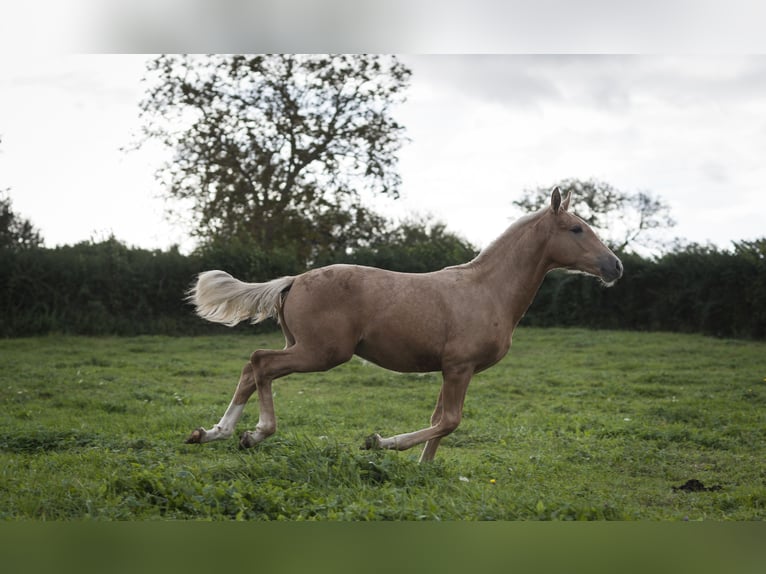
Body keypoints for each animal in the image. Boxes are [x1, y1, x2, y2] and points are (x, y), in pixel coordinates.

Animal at [184, 189, 624, 464]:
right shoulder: (459, 367)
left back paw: (211, 433)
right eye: (577, 229)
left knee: (250, 368)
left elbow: (438, 422)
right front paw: (380, 442)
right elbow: (449, 421)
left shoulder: (454, 370)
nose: (616, 266)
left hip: (305, 348)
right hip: (321, 352)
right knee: (261, 363)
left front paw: (421, 468)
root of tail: (293, 280)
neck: (487, 289)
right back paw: (253, 434)